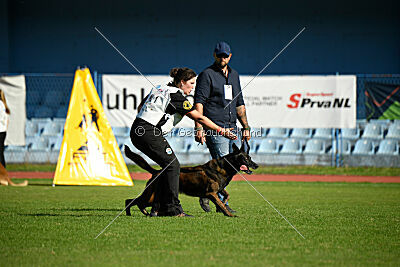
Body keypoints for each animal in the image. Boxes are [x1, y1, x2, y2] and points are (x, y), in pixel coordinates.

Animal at [123, 140, 258, 218]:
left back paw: (143, 213)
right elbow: (221, 203)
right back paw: (132, 213)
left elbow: (226, 196)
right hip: (151, 196)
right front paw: (228, 214)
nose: (256, 165)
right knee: (131, 201)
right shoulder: (211, 193)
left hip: (154, 197)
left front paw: (224, 204)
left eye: (250, 158)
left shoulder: (219, 190)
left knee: (135, 201)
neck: (225, 167)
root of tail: (156, 171)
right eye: (246, 158)